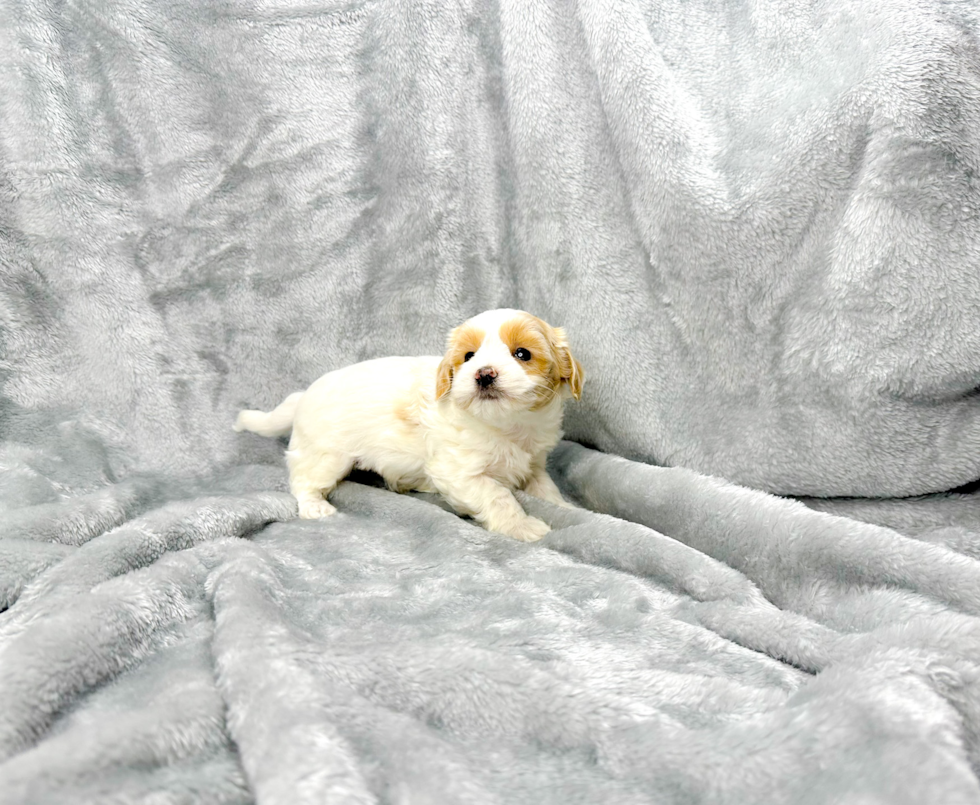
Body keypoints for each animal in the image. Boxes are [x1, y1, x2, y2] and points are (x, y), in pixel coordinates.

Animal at [232, 308, 580, 540]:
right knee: (302, 481)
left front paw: (565, 507)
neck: (507, 424)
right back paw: (315, 506)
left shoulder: (533, 461)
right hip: (325, 455)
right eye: (468, 357)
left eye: (522, 354)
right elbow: (498, 496)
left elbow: (544, 487)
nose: (484, 374)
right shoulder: (457, 471)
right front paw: (521, 526)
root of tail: (303, 395)